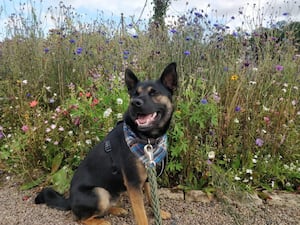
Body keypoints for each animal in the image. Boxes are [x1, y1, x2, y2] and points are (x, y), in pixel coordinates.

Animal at [34, 62, 177, 225]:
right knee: (80, 218)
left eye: (153, 93)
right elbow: (141, 214)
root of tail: (70, 200)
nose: (135, 103)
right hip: (100, 192)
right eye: (135, 94)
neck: (146, 139)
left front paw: (158, 212)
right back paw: (101, 221)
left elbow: (152, 198)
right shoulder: (133, 184)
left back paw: (117, 210)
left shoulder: (147, 177)